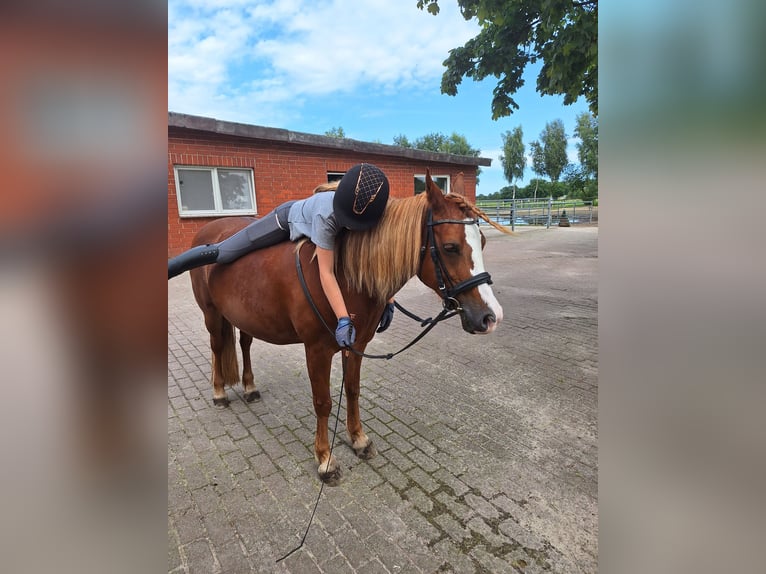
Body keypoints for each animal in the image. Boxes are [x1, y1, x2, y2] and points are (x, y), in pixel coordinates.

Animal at [188, 172, 510, 486]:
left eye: (482, 242)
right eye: (450, 247)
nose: (490, 317)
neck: (345, 275)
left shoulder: (356, 346)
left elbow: (353, 391)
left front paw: (358, 440)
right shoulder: (316, 351)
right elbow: (323, 402)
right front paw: (325, 460)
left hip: (244, 316)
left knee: (244, 343)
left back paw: (250, 387)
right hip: (212, 315)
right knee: (217, 346)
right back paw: (219, 393)